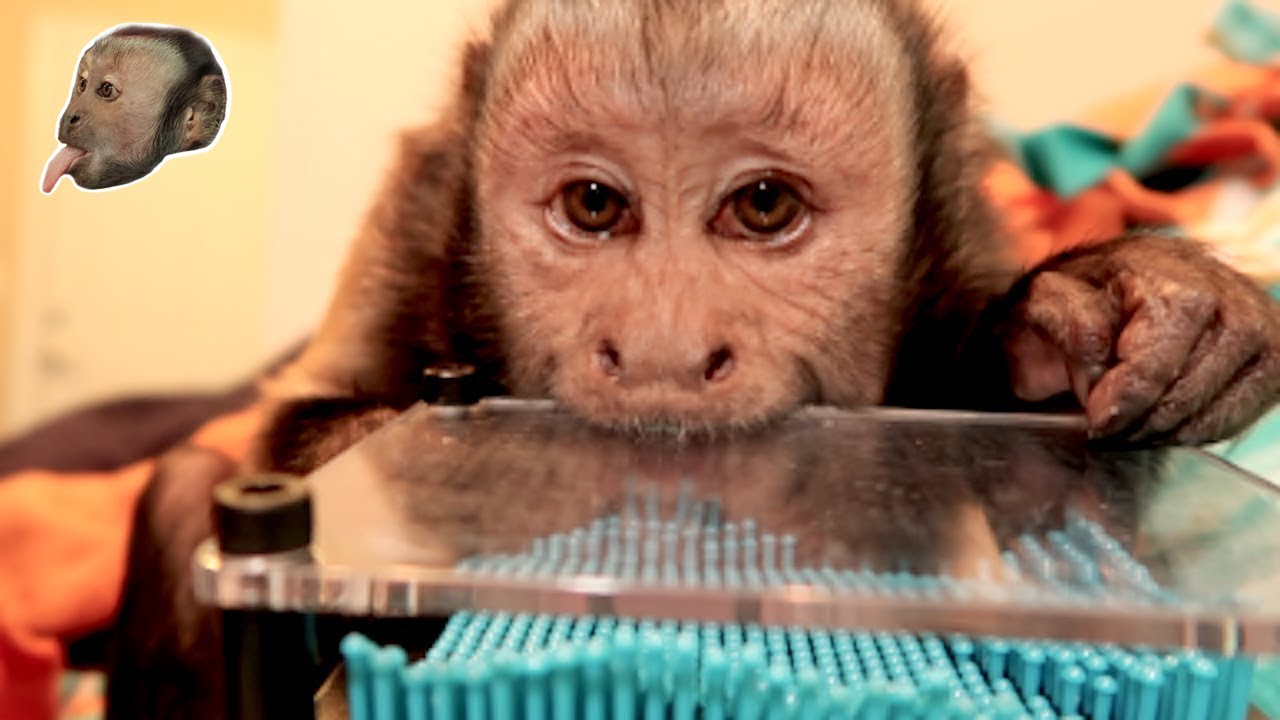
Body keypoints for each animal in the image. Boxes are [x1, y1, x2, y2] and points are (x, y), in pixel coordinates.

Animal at [105, 1, 1280, 717]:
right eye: (593, 204)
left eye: (762, 205)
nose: (663, 353)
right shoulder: (419, 197)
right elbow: (297, 419)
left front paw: (1097, 308)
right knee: (183, 488)